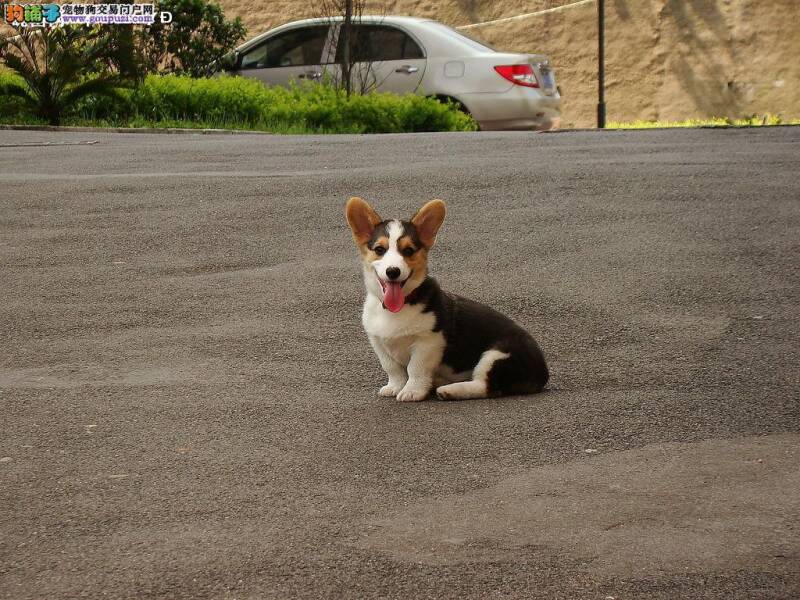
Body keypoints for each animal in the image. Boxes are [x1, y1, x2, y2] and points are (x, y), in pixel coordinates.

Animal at [344, 198, 552, 404]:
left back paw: (449, 390)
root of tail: (543, 372)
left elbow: (415, 369)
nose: (393, 271)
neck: (400, 305)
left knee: (485, 387)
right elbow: (393, 369)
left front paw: (412, 391)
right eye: (380, 249)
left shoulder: (428, 341)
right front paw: (395, 387)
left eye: (408, 251)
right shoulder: (378, 342)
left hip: (496, 354)